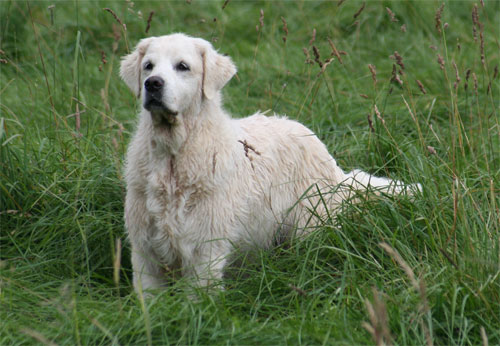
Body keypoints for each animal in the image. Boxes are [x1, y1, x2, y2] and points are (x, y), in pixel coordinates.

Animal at [120, 33, 418, 292]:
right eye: (148, 66)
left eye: (182, 66)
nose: (153, 83)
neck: (173, 158)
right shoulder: (145, 251)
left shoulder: (205, 249)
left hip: (308, 227)